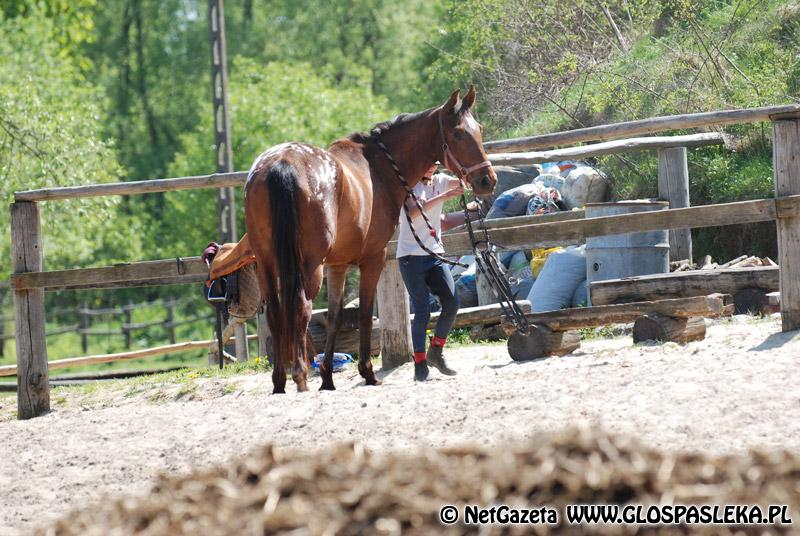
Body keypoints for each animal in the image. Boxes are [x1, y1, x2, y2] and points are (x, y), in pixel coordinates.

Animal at [244, 86, 494, 392]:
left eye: (478, 129)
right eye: (458, 134)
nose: (487, 180)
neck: (379, 168)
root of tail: (281, 163)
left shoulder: (337, 265)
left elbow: (336, 316)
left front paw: (327, 377)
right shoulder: (373, 258)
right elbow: (364, 313)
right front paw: (367, 372)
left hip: (266, 262)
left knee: (277, 312)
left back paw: (280, 380)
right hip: (309, 266)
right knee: (301, 309)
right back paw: (300, 377)